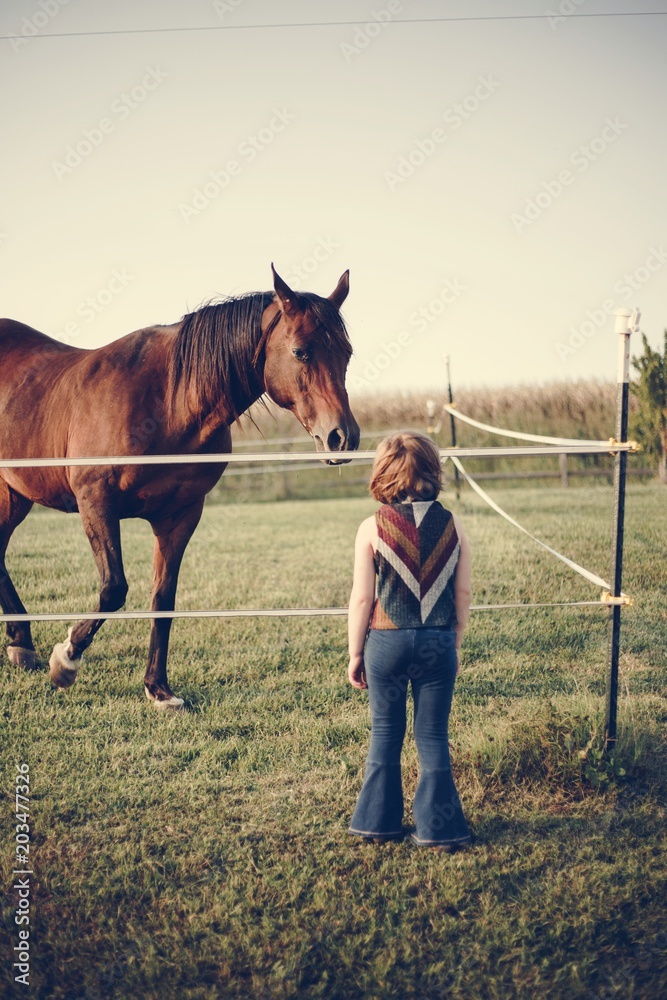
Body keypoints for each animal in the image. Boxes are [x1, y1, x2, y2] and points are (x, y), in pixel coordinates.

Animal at [0, 262, 360, 708]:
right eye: (300, 352)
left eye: (346, 353)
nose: (342, 437)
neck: (168, 401)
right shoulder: (95, 502)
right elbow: (114, 589)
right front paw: (66, 660)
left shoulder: (180, 516)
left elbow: (163, 600)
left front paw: (158, 689)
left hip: (14, 496)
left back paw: (21, 642)